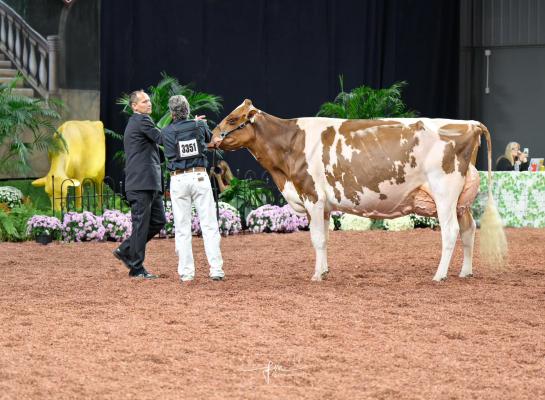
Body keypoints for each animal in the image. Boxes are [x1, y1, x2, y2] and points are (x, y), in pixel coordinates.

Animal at [211, 100, 506, 282]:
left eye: (233, 119)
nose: (212, 137)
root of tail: (468, 123)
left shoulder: (312, 197)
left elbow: (316, 239)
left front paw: (316, 276)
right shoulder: (324, 205)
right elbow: (324, 239)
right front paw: (324, 271)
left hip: (444, 192)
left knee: (451, 231)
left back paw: (439, 275)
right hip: (462, 201)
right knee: (468, 229)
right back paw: (465, 272)